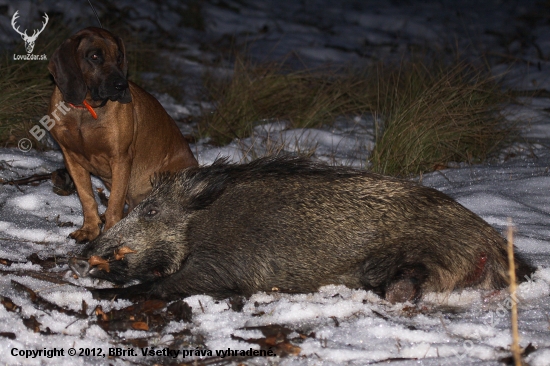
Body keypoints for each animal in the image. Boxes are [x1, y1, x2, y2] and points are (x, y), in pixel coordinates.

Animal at [47, 27, 198, 243]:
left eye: (119, 58)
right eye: (95, 56)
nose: (122, 85)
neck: (86, 109)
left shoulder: (120, 158)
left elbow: (115, 204)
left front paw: (109, 232)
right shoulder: (71, 158)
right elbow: (86, 198)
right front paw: (90, 228)